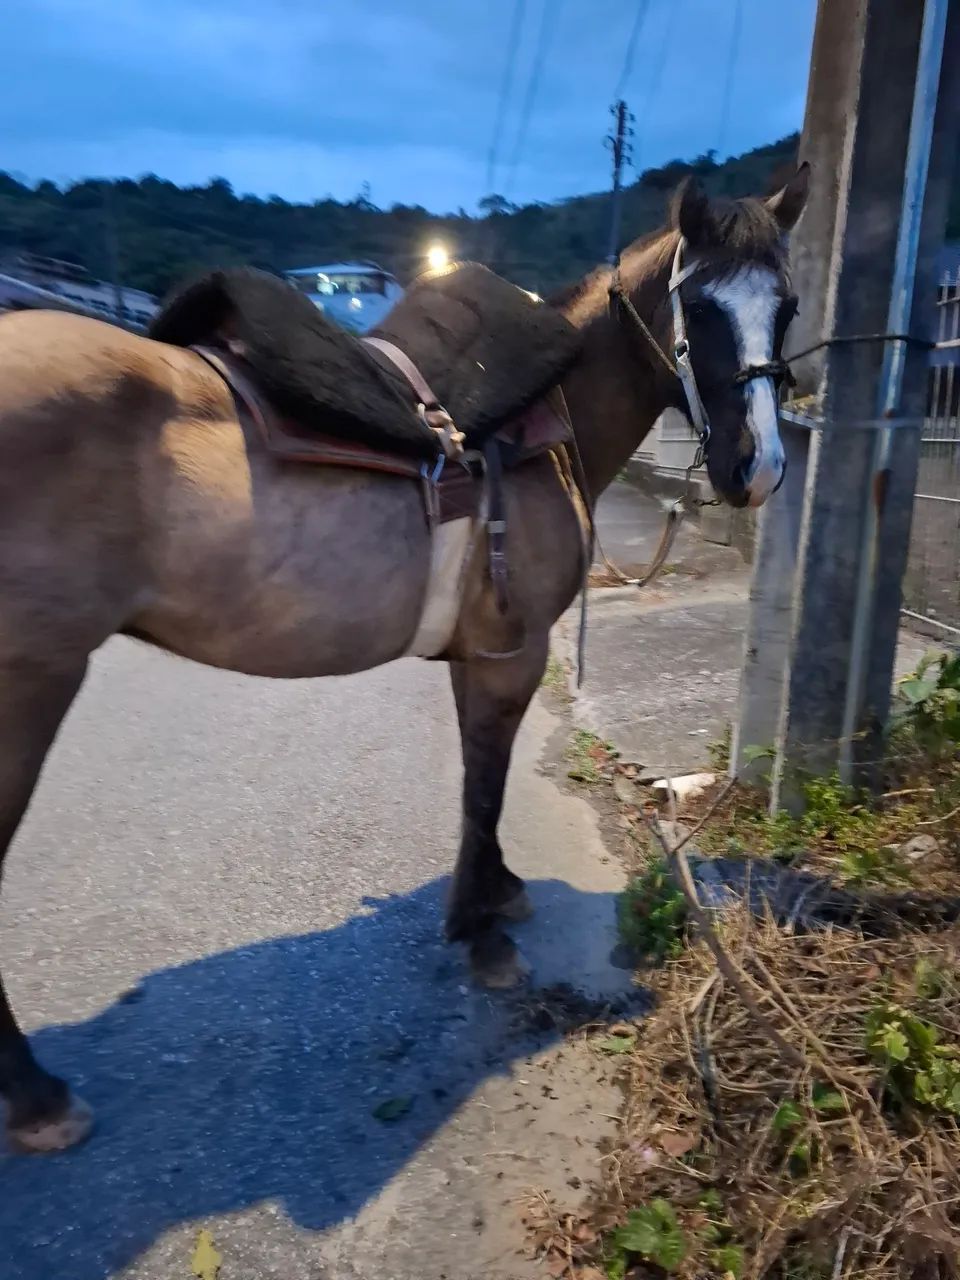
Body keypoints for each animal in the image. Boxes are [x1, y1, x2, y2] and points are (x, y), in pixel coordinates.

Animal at [0, 169, 808, 1154]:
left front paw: (494, 893)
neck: (553, 420)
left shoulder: (480, 652)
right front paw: (484, 936)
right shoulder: (511, 651)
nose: (756, 468)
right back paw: (37, 1098)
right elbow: (484, 786)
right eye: (699, 304)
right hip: (29, 687)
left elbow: (476, 782)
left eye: (787, 306)